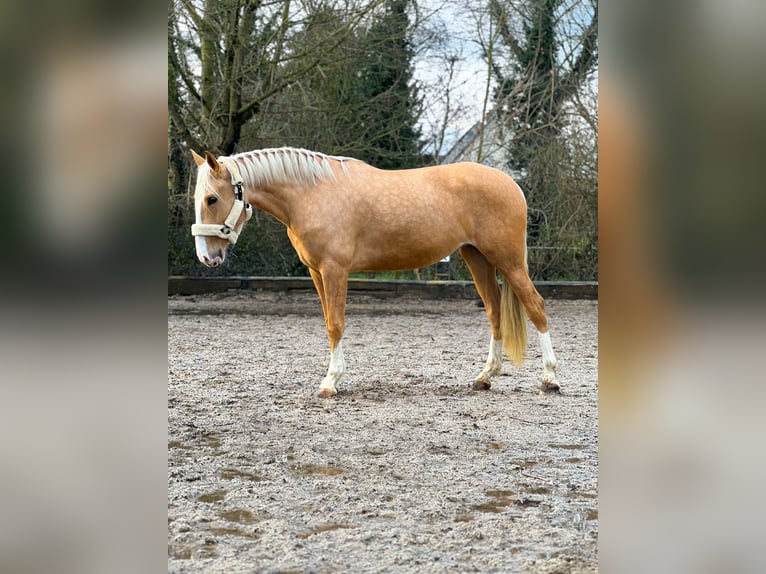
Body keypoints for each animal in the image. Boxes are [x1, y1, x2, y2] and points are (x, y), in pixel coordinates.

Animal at [190, 148, 564, 398]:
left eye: (212, 199)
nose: (207, 257)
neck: (312, 193)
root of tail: (511, 184)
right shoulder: (316, 273)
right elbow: (328, 322)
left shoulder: (335, 270)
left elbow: (336, 324)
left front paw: (331, 382)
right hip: (478, 258)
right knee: (494, 311)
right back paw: (485, 377)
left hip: (508, 260)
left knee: (536, 306)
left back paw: (550, 379)